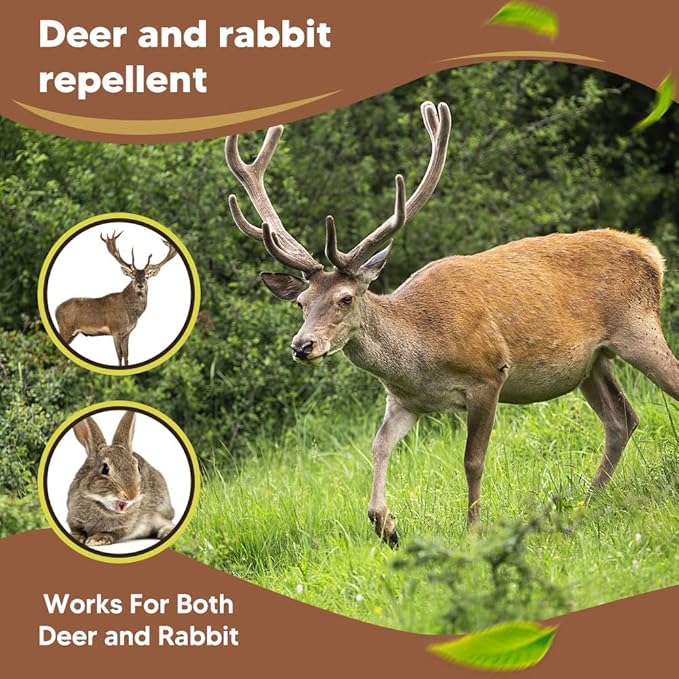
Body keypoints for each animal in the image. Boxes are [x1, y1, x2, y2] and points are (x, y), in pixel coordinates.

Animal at [55, 231, 177, 367]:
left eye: (146, 277)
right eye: (133, 276)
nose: (140, 285)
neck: (130, 313)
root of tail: (56, 309)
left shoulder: (127, 333)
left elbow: (127, 355)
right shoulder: (115, 329)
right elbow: (119, 355)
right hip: (65, 328)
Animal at [66, 410, 175, 547]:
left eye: (137, 467)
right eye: (105, 469)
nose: (132, 494)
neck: (101, 505)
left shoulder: (126, 526)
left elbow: (113, 533)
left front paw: (96, 539)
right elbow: (77, 529)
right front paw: (77, 537)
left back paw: (165, 532)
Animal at [224, 101, 679, 548]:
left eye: (345, 298)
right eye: (301, 303)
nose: (302, 346)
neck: (422, 352)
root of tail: (651, 252)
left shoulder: (488, 375)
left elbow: (472, 460)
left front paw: (473, 529)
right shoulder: (404, 401)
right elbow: (378, 446)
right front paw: (386, 525)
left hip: (638, 328)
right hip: (591, 362)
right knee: (622, 419)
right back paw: (584, 504)